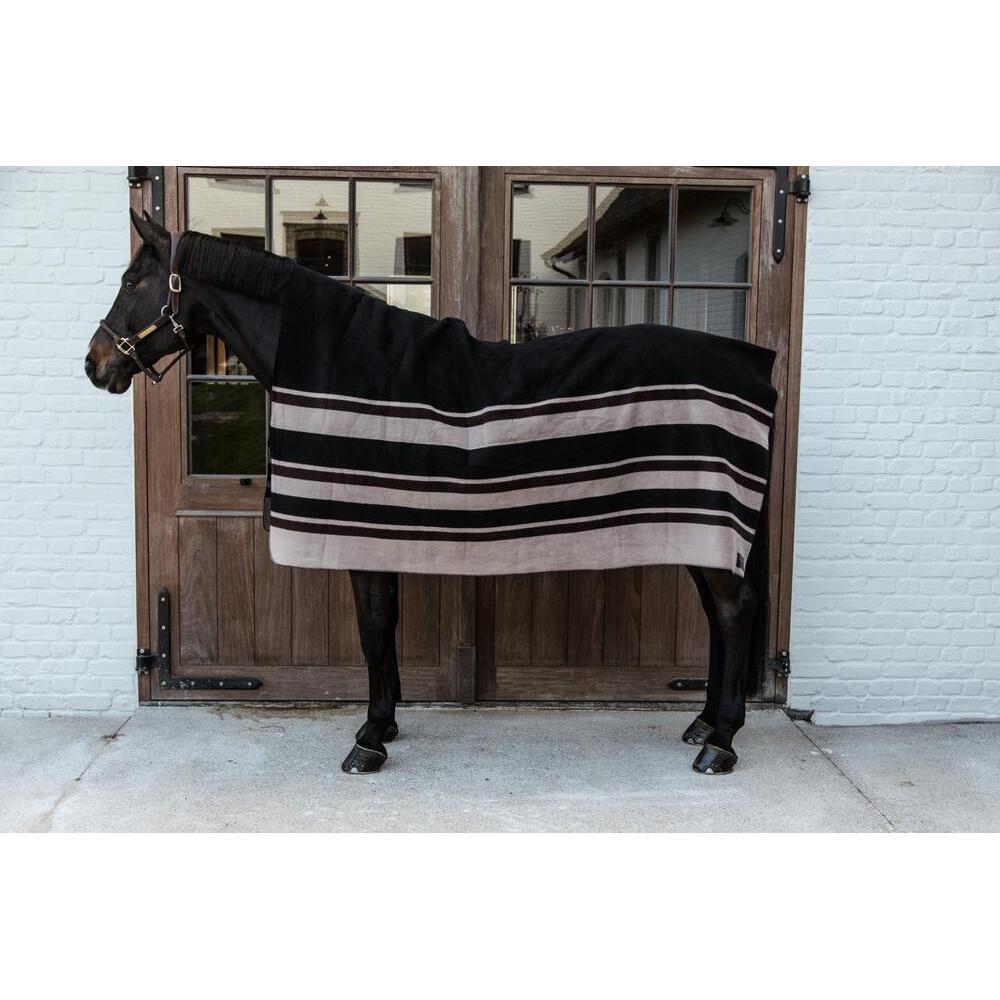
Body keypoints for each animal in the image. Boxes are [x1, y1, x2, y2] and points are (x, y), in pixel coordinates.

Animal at [85, 209, 774, 776]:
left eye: (132, 282)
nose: (95, 364)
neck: (345, 362)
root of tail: (756, 365)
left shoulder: (359, 533)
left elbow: (372, 628)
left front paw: (367, 741)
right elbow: (383, 628)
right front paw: (386, 724)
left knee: (734, 612)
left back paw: (721, 744)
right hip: (696, 528)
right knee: (719, 615)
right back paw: (704, 724)